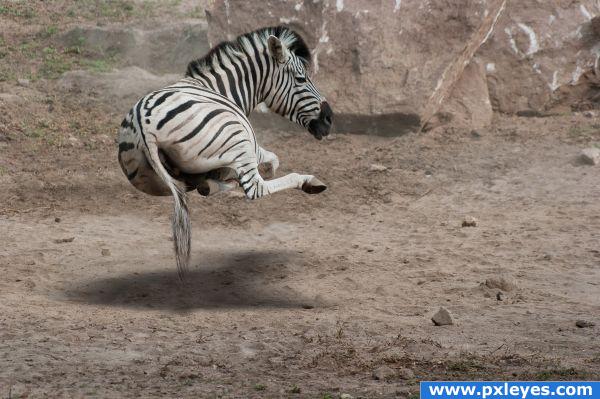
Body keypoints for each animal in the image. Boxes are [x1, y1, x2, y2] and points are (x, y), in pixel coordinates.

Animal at [116, 26, 332, 280]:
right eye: (301, 79)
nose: (329, 119)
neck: (219, 88)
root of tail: (145, 122)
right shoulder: (250, 144)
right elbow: (272, 160)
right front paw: (266, 170)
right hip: (239, 137)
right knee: (255, 188)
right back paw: (307, 181)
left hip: (149, 179)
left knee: (188, 185)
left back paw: (211, 183)